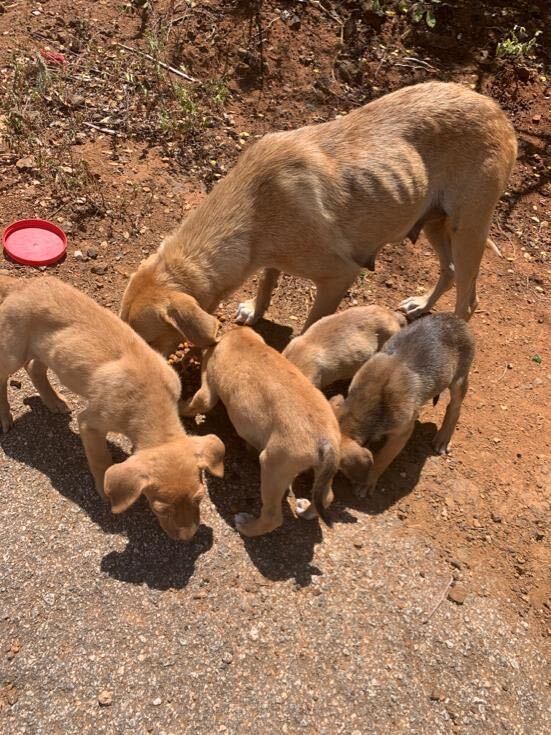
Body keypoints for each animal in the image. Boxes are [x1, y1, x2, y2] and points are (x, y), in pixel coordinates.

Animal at [0, 276, 225, 540]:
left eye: (199, 499)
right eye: (160, 509)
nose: (187, 538)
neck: (152, 399)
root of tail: (22, 283)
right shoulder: (90, 423)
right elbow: (101, 459)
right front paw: (104, 490)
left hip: (45, 351)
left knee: (34, 367)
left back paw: (53, 400)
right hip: (12, 349)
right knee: (4, 376)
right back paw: (5, 416)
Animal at [180, 328, 340, 536]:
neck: (241, 338)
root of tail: (326, 439)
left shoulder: (207, 392)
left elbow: (191, 404)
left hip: (273, 466)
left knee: (273, 517)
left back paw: (247, 526)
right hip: (322, 470)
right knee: (327, 497)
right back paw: (306, 511)